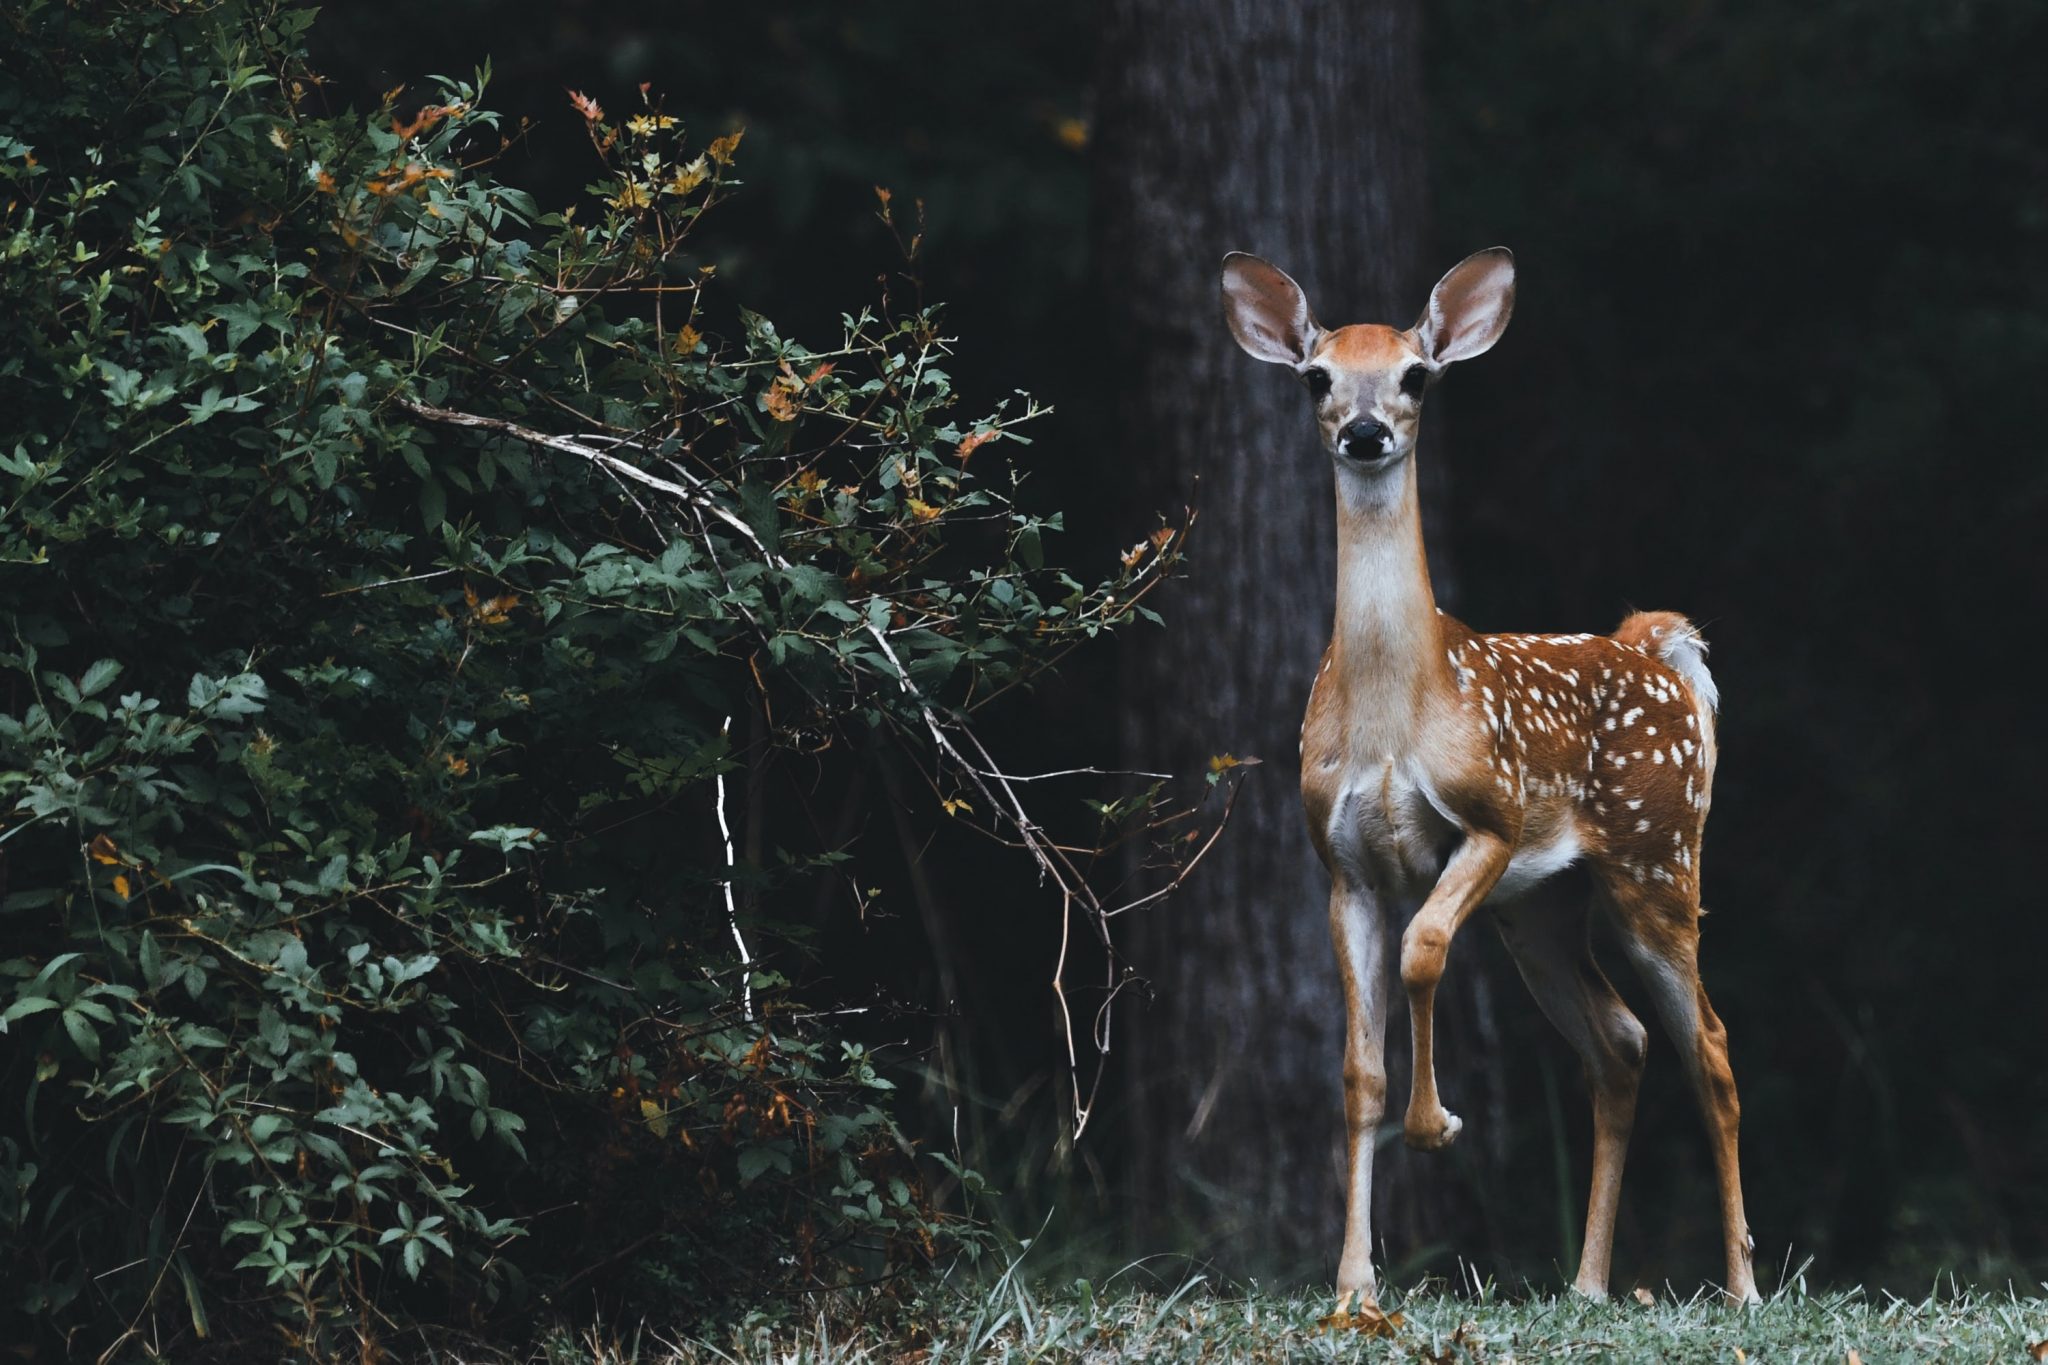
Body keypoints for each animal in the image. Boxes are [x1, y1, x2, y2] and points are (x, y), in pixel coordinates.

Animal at [1219, 247, 1758, 1313]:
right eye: (1317, 378)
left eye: (1417, 376)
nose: (1367, 431)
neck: (1396, 711)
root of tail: (1658, 649)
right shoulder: (1341, 865)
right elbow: (1358, 1070)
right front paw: (1354, 1283)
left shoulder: (1491, 819)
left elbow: (1424, 950)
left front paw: (1439, 1125)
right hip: (1543, 908)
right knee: (1620, 1041)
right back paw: (1587, 1284)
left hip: (1658, 859)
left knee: (1710, 1047)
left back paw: (1743, 1286)